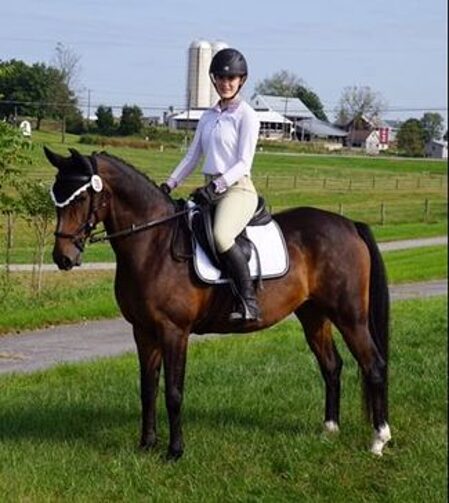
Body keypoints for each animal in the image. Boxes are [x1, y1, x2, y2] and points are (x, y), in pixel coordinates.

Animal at [44, 147, 391, 460]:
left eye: (80, 198)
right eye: (56, 198)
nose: (63, 258)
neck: (153, 244)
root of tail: (349, 225)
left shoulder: (174, 331)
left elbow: (173, 392)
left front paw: (175, 451)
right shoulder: (143, 331)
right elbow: (147, 388)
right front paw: (146, 444)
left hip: (350, 316)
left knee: (373, 365)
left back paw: (379, 440)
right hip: (314, 315)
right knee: (331, 366)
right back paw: (329, 430)